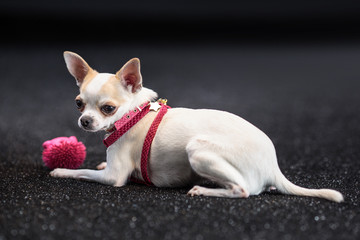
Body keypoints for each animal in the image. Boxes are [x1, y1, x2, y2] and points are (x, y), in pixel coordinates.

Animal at [50, 51, 344, 202]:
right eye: (78, 104)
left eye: (108, 109)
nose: (85, 121)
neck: (134, 114)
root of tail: (273, 168)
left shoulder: (114, 177)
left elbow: (83, 172)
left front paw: (62, 170)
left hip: (198, 150)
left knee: (243, 190)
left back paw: (204, 189)